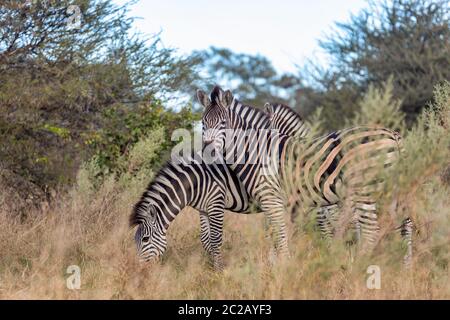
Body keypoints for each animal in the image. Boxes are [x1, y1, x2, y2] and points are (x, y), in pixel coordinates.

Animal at [201, 85, 414, 262]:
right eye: (203, 123)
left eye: (223, 123)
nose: (207, 150)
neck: (255, 151)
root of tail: (393, 134)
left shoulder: (276, 200)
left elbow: (282, 236)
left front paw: (284, 269)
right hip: (393, 190)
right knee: (405, 225)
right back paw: (405, 268)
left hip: (365, 190)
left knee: (372, 232)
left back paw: (359, 268)